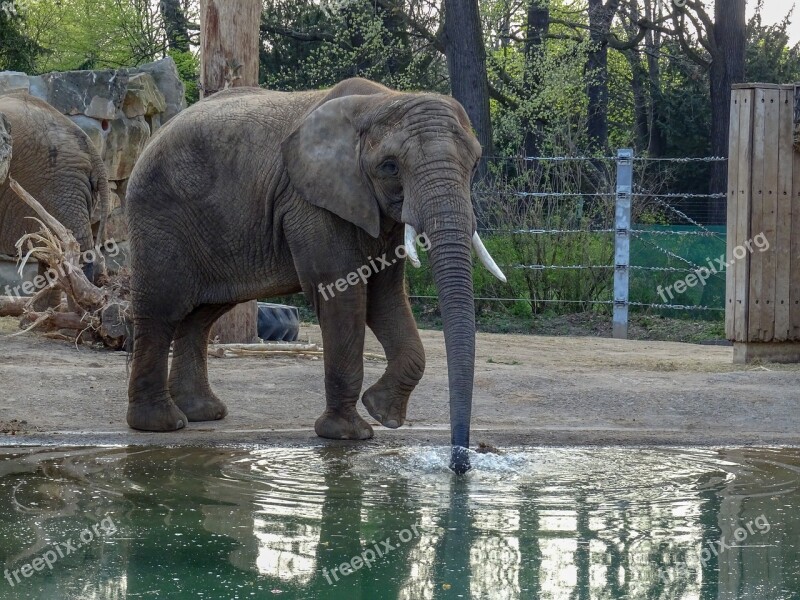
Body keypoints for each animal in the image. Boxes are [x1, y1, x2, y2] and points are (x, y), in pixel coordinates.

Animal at [125, 78, 504, 474]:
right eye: (390, 166)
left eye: (475, 164)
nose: (460, 463)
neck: (382, 101)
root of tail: (156, 133)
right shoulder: (312, 204)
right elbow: (344, 297)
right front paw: (349, 435)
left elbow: (384, 299)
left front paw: (383, 413)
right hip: (158, 216)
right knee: (162, 311)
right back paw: (162, 424)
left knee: (201, 315)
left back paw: (203, 413)